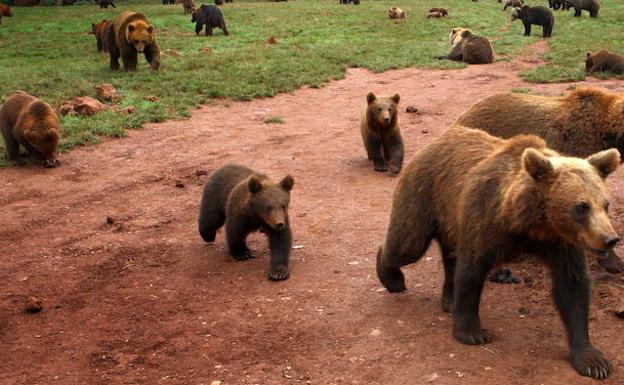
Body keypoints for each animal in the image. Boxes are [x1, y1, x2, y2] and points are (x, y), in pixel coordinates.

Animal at [376, 127, 620, 380]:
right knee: (407, 243)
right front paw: (472, 332)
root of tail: (439, 140)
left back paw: (449, 300)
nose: (610, 239)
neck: (531, 224)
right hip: (425, 193)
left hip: (451, 217)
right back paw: (392, 277)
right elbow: (471, 272)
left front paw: (593, 360)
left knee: (449, 256)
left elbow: (573, 289)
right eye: (581, 207)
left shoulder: (561, 244)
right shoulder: (485, 221)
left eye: (605, 204)